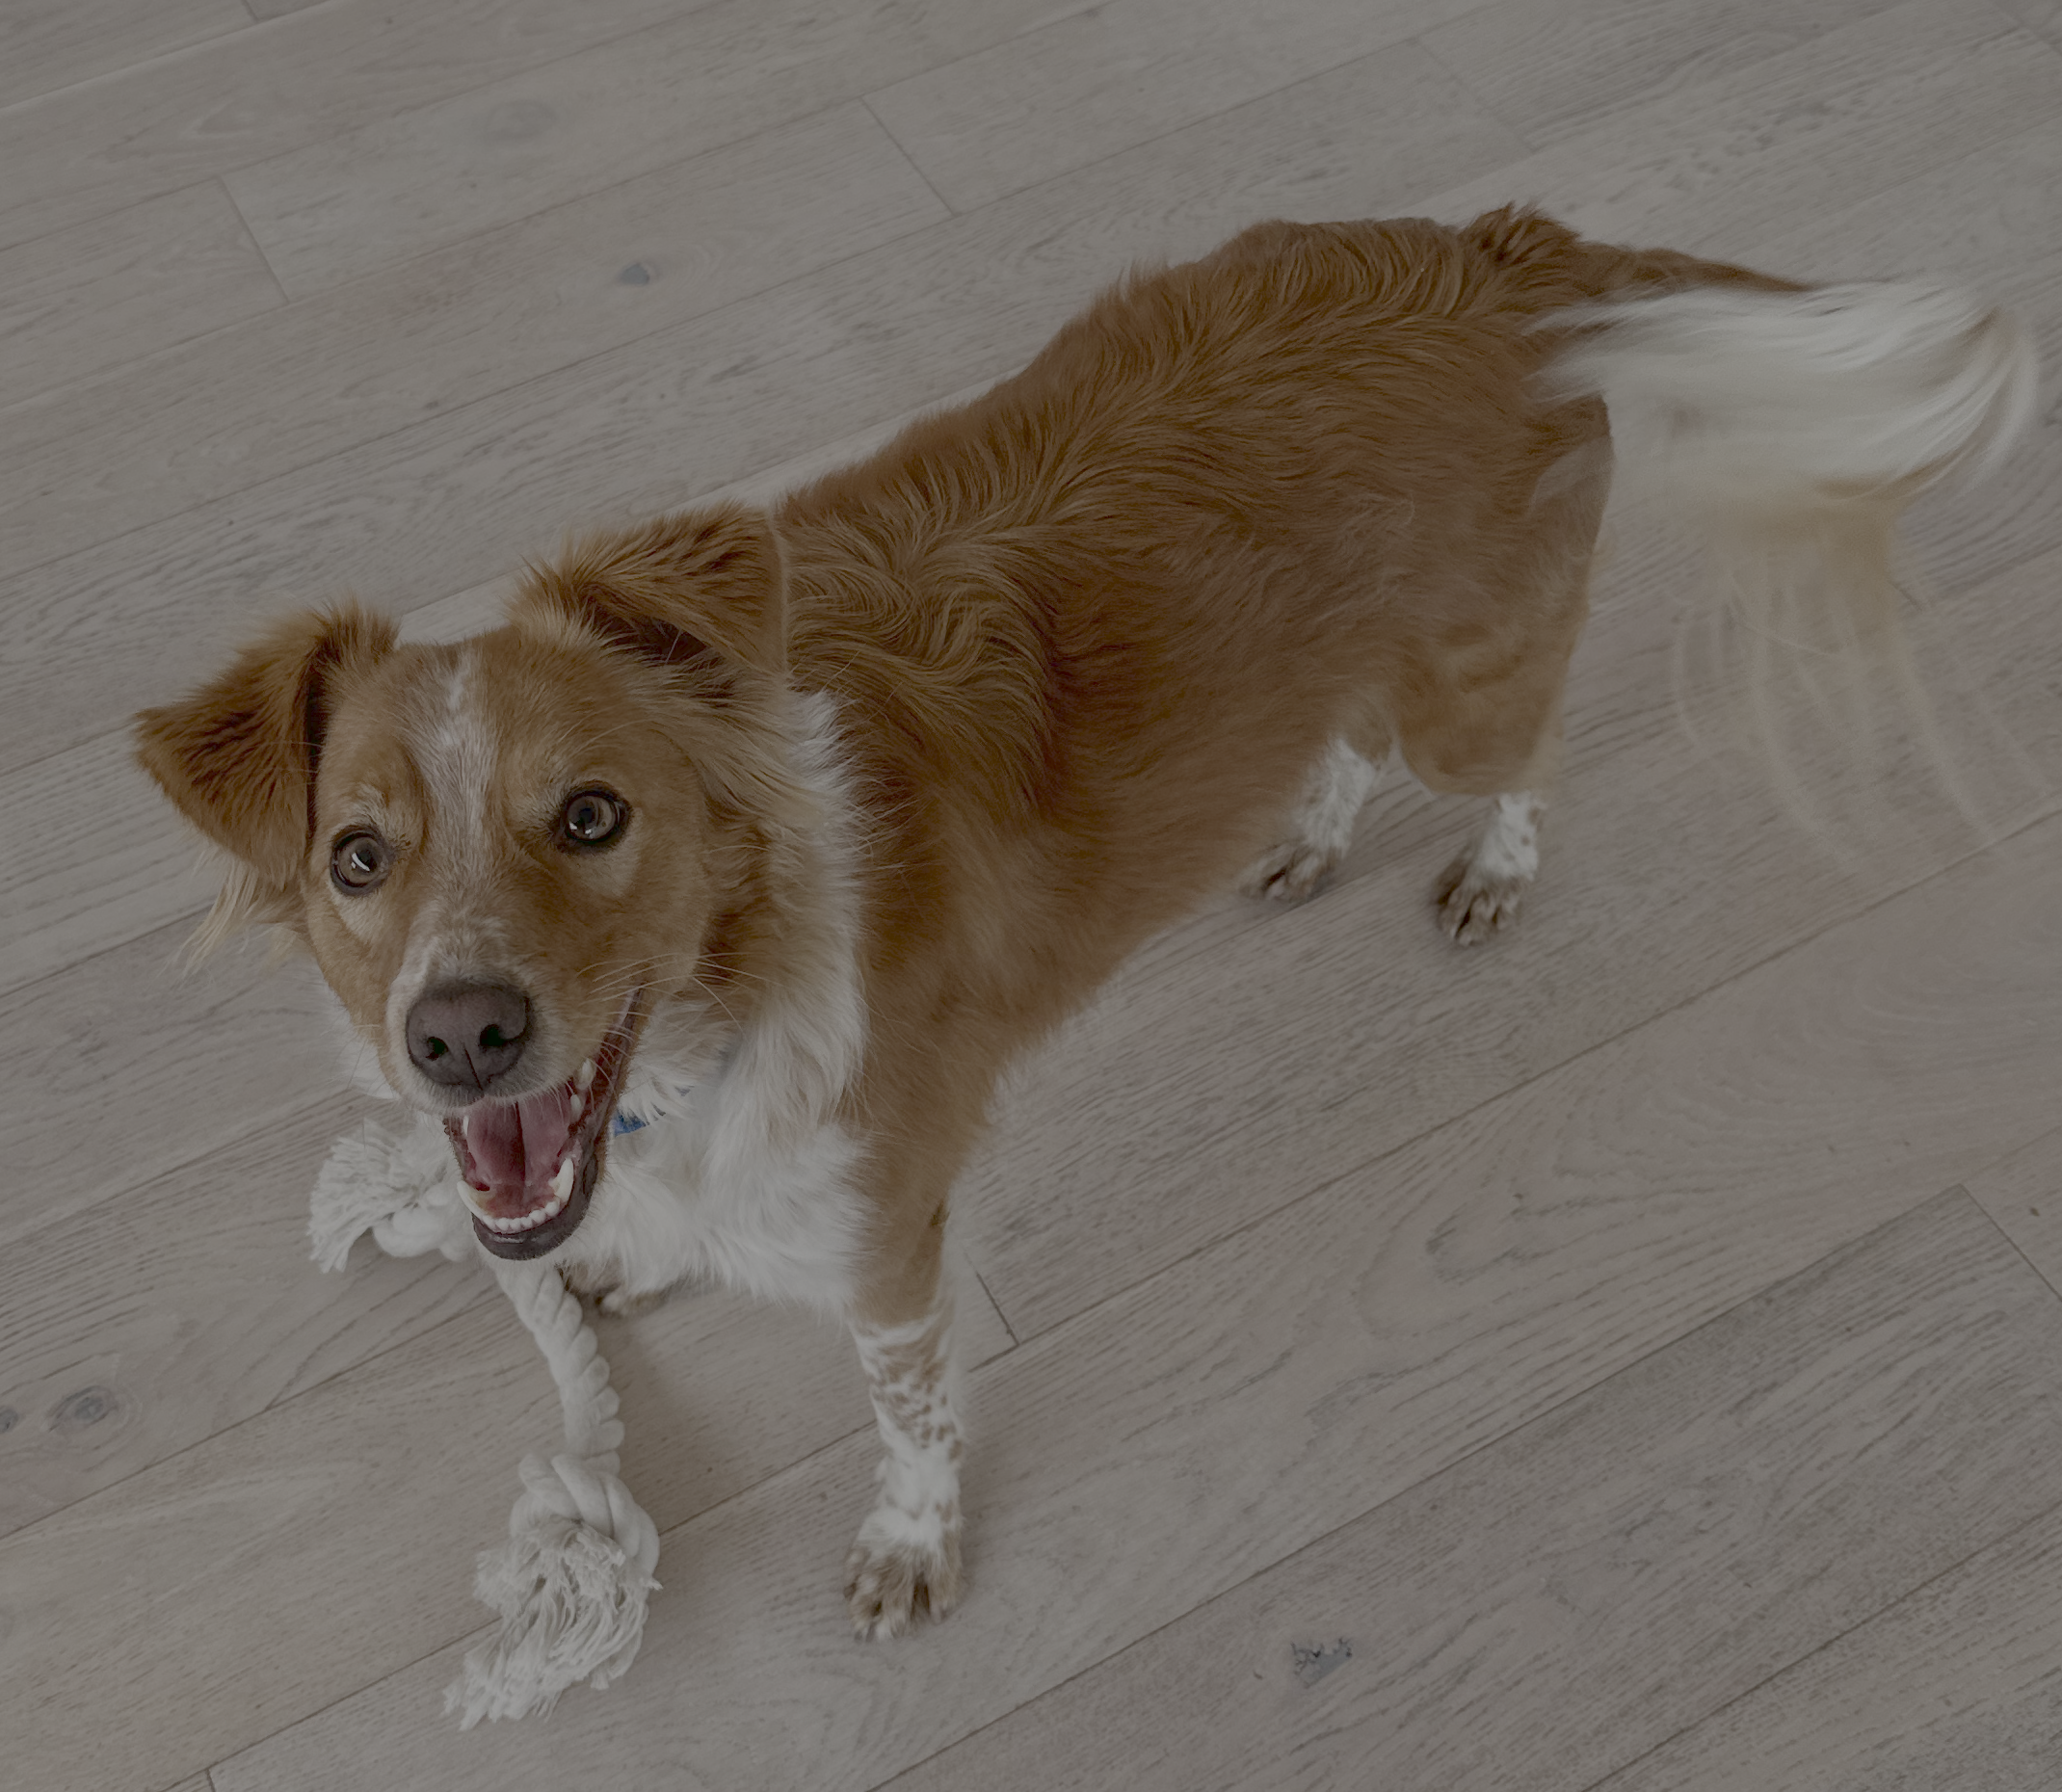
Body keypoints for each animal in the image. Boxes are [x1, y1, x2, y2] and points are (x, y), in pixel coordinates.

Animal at [133, 206, 2028, 1633]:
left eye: (592, 817)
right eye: (357, 858)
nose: (461, 1040)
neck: (716, 1011)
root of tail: (1508, 249)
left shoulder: (892, 1247)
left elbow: (911, 1424)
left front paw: (913, 1549)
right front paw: (630, 1255)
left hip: (1469, 695)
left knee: (1528, 754)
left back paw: (1493, 866)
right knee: (1337, 740)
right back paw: (1308, 836)